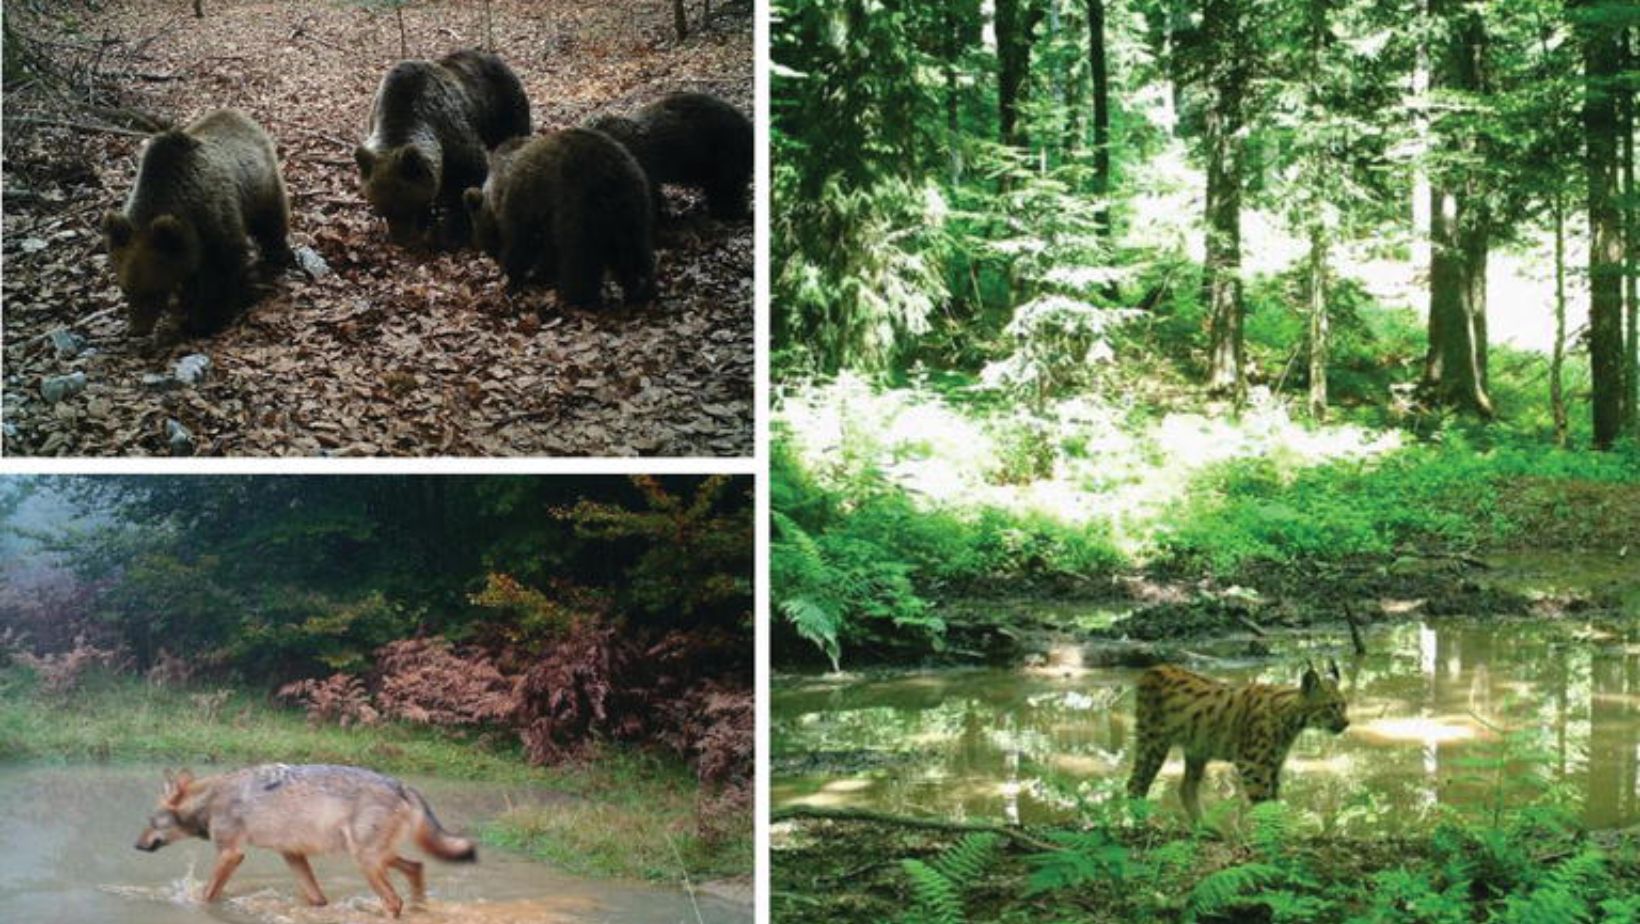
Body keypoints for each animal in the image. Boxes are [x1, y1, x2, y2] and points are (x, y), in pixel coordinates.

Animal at [103, 108, 291, 338]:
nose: (137, 330)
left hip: (260, 185)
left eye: (152, 290)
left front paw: (206, 318)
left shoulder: (216, 221)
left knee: (271, 220)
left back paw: (279, 254)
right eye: (126, 289)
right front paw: (188, 300)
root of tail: (237, 113)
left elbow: (222, 269)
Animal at [132, 768, 475, 919]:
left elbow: (205, 895)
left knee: (394, 900)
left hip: (366, 861)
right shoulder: (292, 855)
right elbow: (317, 900)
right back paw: (421, 909)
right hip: (376, 857)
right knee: (417, 868)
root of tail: (402, 784)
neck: (212, 799)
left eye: (150, 820)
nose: (135, 845)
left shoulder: (231, 854)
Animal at [354, 46, 528, 249]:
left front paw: (454, 231)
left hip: (505, 106)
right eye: (382, 208)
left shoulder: (451, 135)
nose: (401, 240)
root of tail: (492, 56)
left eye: (406, 204)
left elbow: (470, 176)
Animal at [462, 128, 652, 306]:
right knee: (633, 249)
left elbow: (521, 243)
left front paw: (515, 276)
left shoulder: (524, 203)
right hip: (632, 206)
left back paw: (576, 296)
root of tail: (612, 175)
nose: (493, 258)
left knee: (579, 256)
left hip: (581, 205)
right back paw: (640, 287)